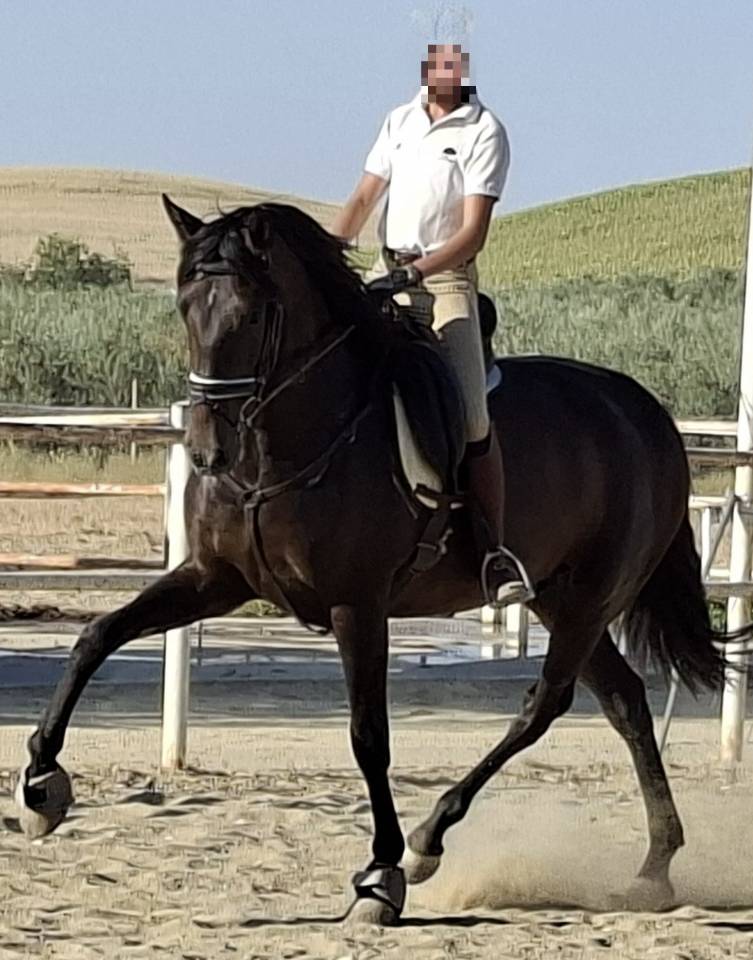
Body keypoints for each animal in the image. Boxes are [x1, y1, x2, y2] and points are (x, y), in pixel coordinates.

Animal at [15, 195, 743, 926]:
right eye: (185, 305)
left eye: (249, 314)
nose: (204, 448)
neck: (284, 446)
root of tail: (645, 411)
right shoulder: (215, 580)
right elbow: (97, 635)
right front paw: (41, 786)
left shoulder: (356, 605)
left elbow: (368, 734)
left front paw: (380, 875)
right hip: (557, 596)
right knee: (623, 700)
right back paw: (652, 870)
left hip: (592, 597)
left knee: (546, 702)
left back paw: (428, 841)